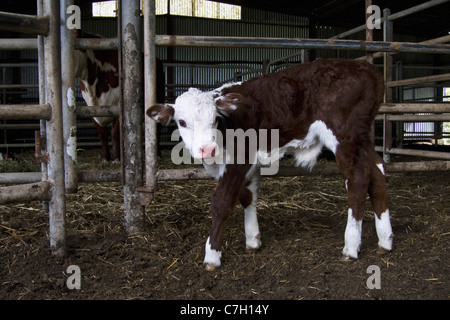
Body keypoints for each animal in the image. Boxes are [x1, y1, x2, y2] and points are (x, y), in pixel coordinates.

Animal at [74, 31, 165, 161]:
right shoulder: (90, 108)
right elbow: (102, 133)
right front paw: (105, 157)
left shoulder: (119, 105)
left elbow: (115, 133)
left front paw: (116, 158)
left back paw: (157, 153)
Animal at [146, 58, 392, 270]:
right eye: (181, 121)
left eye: (215, 119)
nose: (207, 149)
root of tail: (365, 66)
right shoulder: (248, 163)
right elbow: (248, 196)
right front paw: (253, 240)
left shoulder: (239, 159)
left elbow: (221, 202)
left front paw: (212, 255)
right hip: (361, 138)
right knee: (378, 171)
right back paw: (385, 239)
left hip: (344, 136)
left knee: (358, 178)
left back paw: (351, 246)